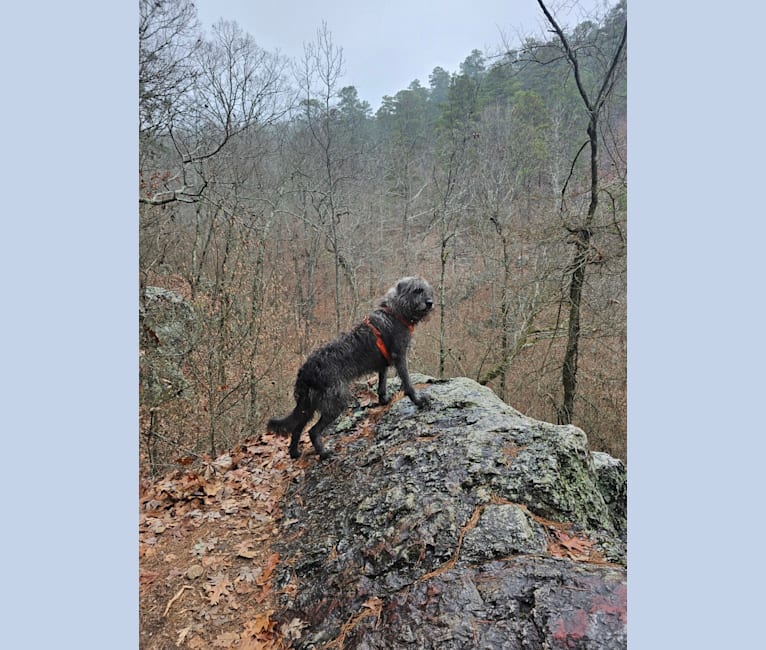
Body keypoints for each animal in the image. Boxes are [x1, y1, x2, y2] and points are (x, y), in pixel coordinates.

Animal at [270, 276, 436, 458]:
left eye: (427, 290)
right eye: (417, 290)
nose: (430, 303)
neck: (395, 311)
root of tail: (305, 370)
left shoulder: (383, 364)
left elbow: (382, 382)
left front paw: (383, 400)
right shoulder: (400, 356)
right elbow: (407, 382)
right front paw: (418, 400)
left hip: (307, 405)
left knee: (297, 427)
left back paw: (294, 452)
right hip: (336, 400)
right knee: (313, 431)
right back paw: (324, 453)